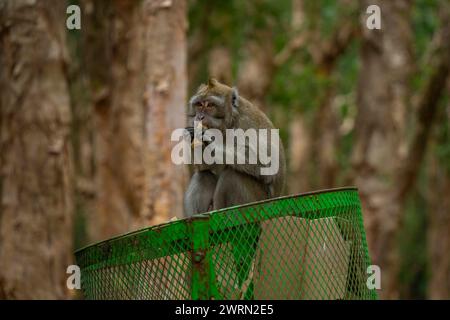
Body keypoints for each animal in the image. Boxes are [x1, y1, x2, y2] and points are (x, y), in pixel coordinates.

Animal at [183, 78, 284, 216]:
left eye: (210, 105)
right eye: (199, 105)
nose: (199, 117)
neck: (228, 124)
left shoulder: (246, 122)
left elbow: (268, 163)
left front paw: (209, 140)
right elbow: (205, 166)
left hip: (258, 204)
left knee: (232, 176)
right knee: (203, 175)